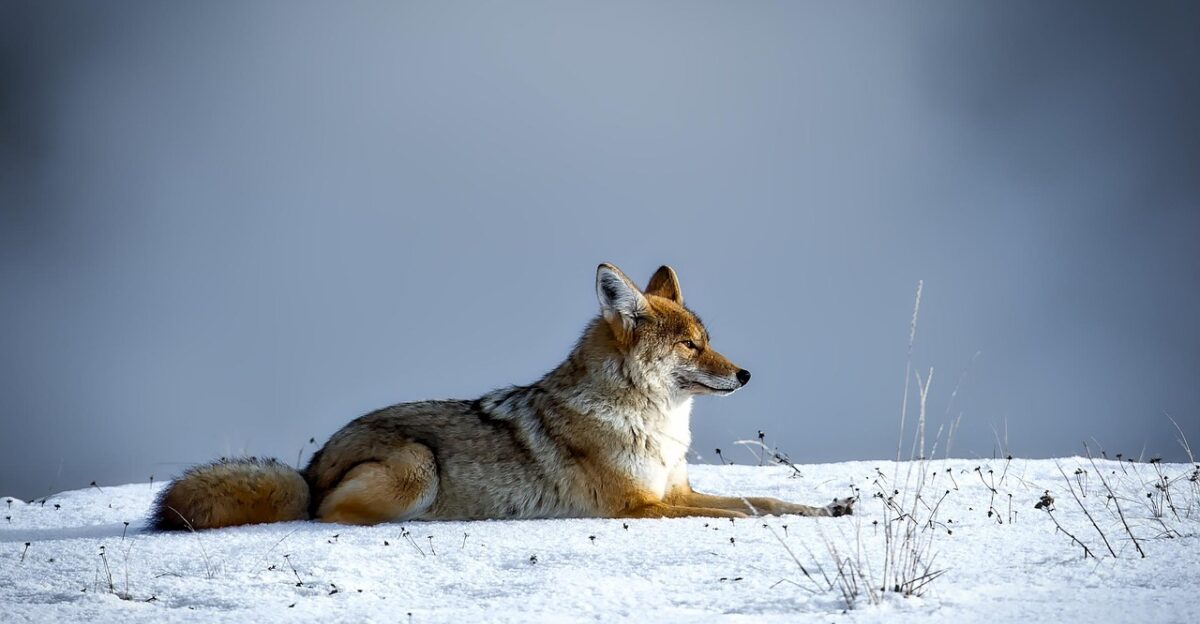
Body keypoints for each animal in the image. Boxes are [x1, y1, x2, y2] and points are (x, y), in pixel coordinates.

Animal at [150, 263, 854, 530]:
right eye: (690, 345)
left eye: (708, 340)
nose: (746, 374)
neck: (653, 425)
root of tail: (309, 466)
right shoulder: (640, 506)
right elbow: (741, 513)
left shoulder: (674, 492)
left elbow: (765, 499)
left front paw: (828, 509)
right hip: (416, 466)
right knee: (327, 516)